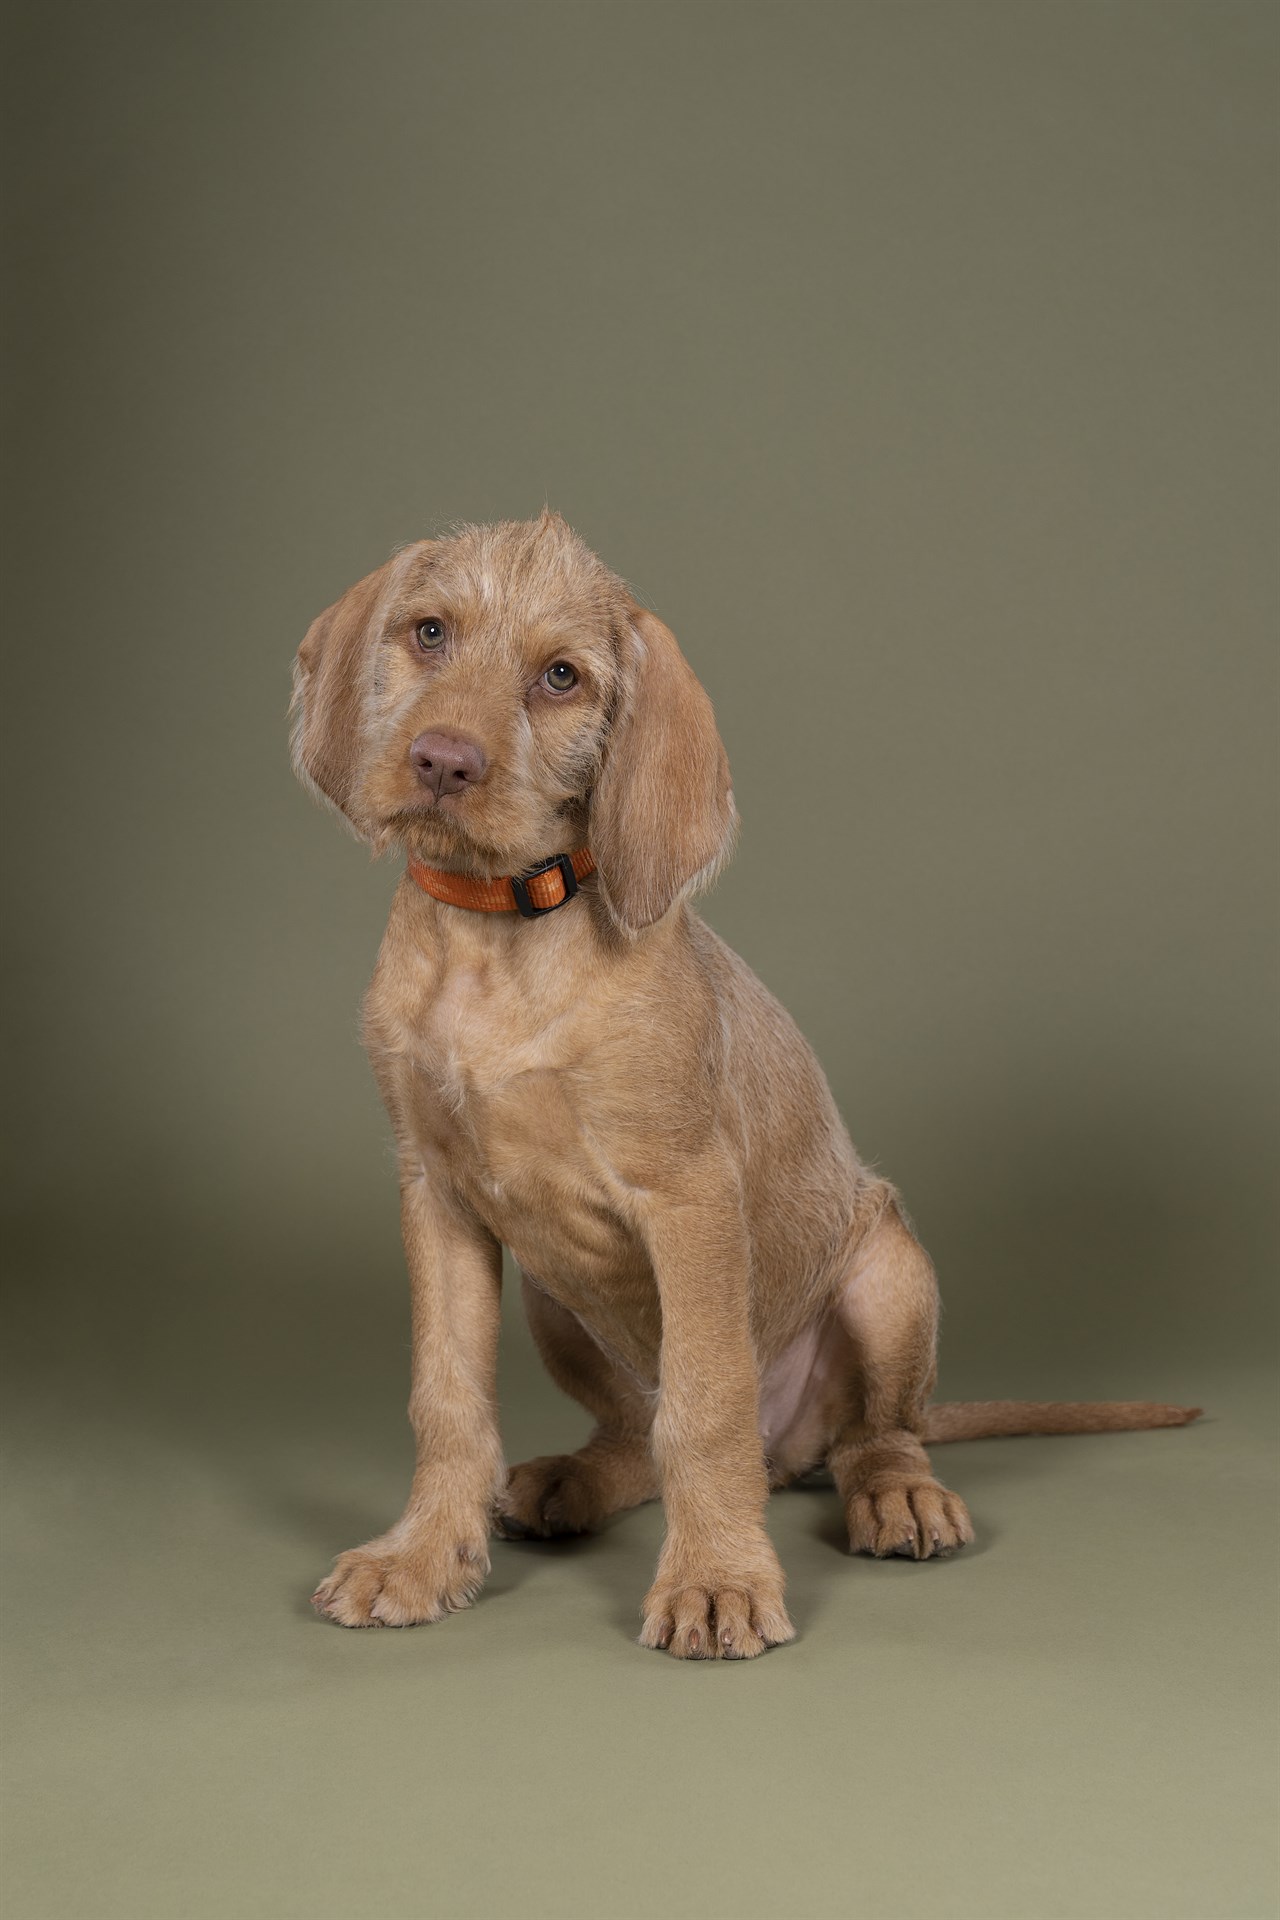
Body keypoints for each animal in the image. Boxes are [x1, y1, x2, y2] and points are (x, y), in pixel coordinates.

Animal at [289, 514, 1205, 1666]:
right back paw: (572, 1481)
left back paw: (895, 1497)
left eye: (560, 676)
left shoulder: (688, 1196)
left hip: (889, 1274)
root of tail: (790, 1450)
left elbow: (707, 1406)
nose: (443, 760)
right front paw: (420, 1556)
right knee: (636, 1433)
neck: (498, 930)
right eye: (427, 632)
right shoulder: (437, 1197)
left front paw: (716, 1578)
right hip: (550, 1295)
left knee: (871, 1433)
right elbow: (446, 1395)